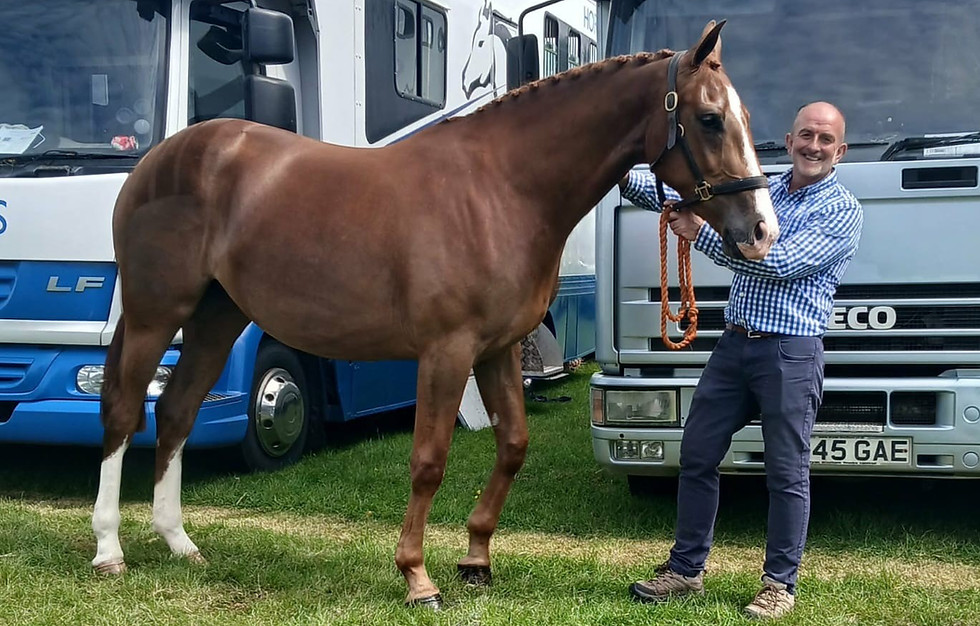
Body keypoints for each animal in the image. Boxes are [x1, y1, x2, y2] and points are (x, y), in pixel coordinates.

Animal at [91, 20, 777, 608]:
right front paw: (417, 576)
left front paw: (476, 561)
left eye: (744, 117)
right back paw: (109, 550)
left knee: (176, 411)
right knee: (125, 411)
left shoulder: (498, 350)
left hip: (216, 318)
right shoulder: (446, 352)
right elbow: (429, 460)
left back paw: (180, 544)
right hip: (155, 315)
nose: (761, 232)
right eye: (710, 119)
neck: (500, 188)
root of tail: (160, 159)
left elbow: (513, 446)